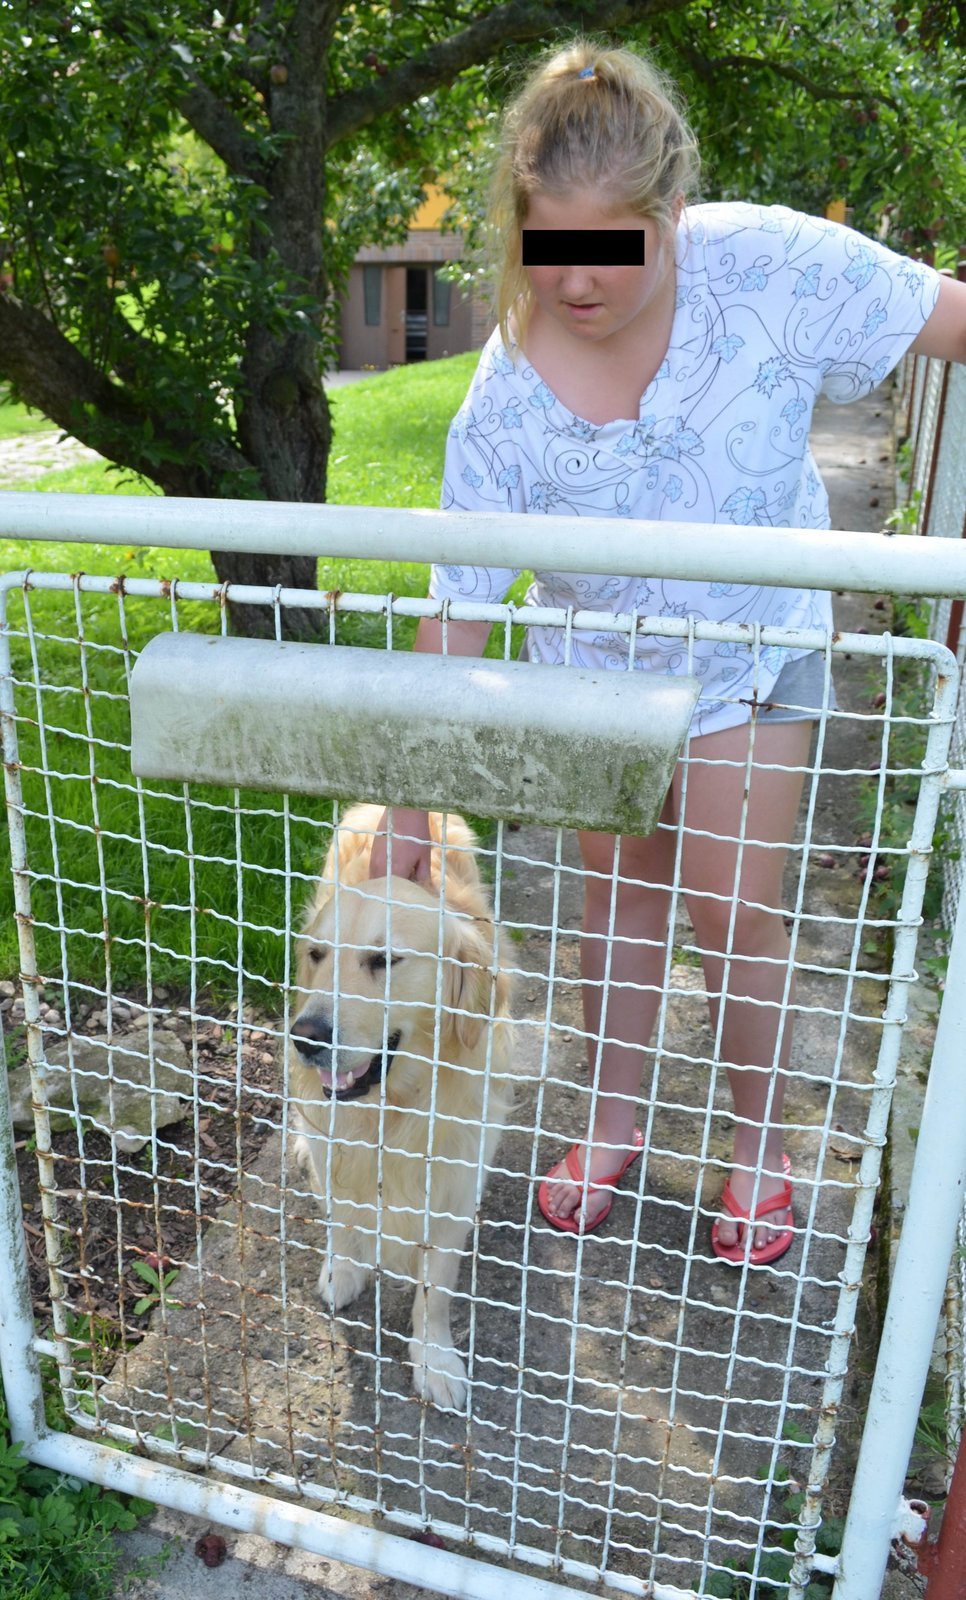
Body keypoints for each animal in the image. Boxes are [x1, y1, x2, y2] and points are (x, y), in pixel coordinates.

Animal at [286, 806, 511, 1408]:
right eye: (317, 955)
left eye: (383, 960)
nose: (303, 1037)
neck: (391, 1112)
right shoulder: (335, 1147)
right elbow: (341, 1217)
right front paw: (343, 1271)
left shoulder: (454, 1188)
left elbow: (435, 1290)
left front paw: (434, 1359)